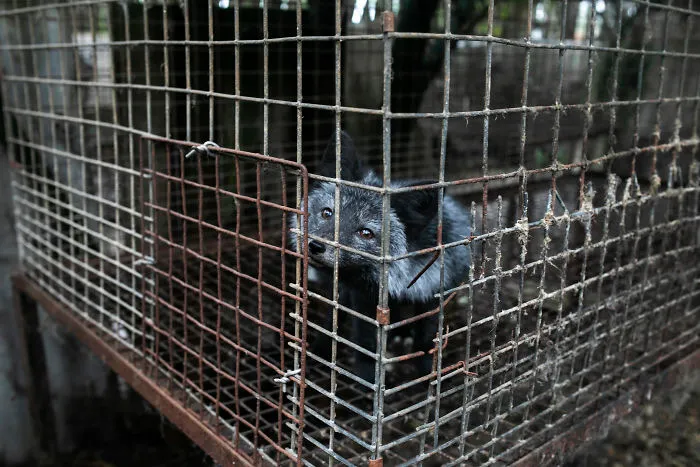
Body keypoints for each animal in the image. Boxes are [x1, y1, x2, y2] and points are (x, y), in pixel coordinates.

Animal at [289, 130, 472, 384]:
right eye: (327, 213)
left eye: (366, 233)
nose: (315, 246)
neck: (401, 277)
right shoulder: (362, 297)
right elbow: (365, 341)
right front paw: (368, 377)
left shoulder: (435, 292)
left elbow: (427, 340)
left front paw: (428, 373)